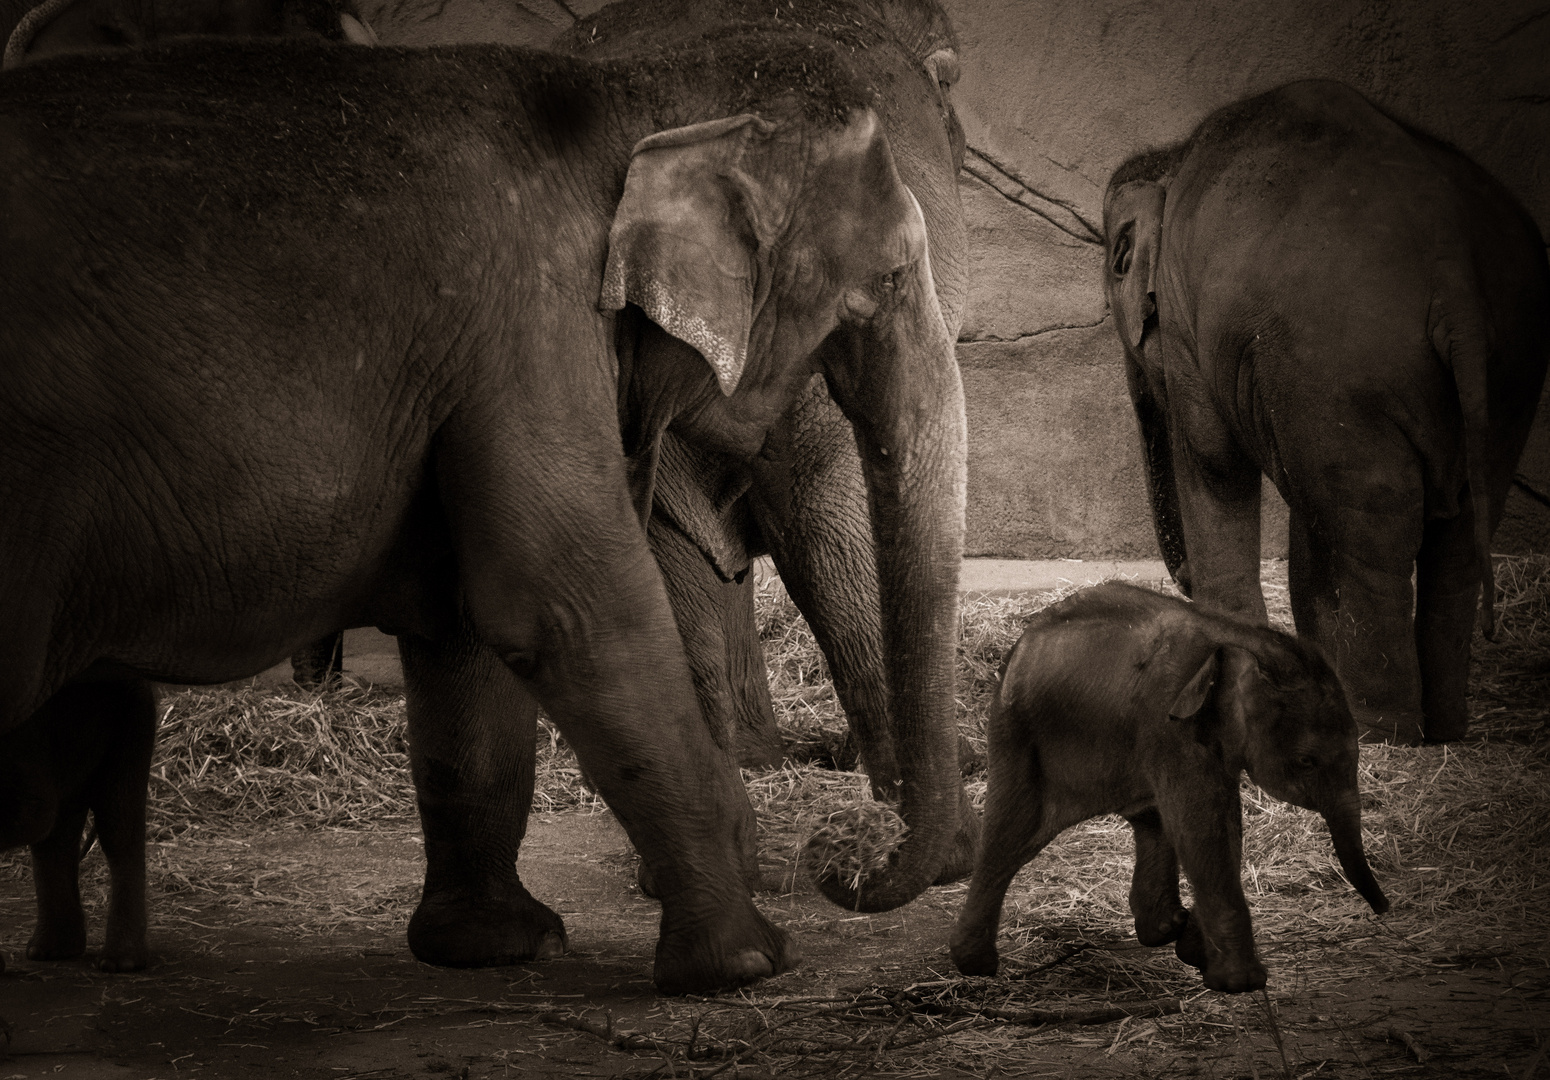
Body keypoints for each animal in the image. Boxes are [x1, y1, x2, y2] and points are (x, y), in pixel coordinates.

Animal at [0, 678, 157, 973]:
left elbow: (35, 813)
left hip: (132, 718)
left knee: (117, 824)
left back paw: (119, 962)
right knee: (60, 833)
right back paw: (51, 950)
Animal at [948, 585, 1401, 991]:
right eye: (1307, 761)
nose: (1384, 909)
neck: (1241, 639)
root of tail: (1022, 642)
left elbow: (1219, 823)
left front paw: (1196, 951)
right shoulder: (1169, 727)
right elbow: (1203, 825)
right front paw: (1241, 983)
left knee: (1149, 820)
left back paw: (1164, 928)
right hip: (1019, 732)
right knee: (1012, 831)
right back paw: (977, 965)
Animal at [1103, 80, 1550, 746]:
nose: (1178, 582)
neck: (1172, 157)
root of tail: (1455, 274)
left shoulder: (1187, 326)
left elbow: (1212, 461)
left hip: (1339, 361)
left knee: (1360, 520)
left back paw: (1377, 731)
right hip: (1508, 366)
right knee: (1456, 524)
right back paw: (1441, 730)